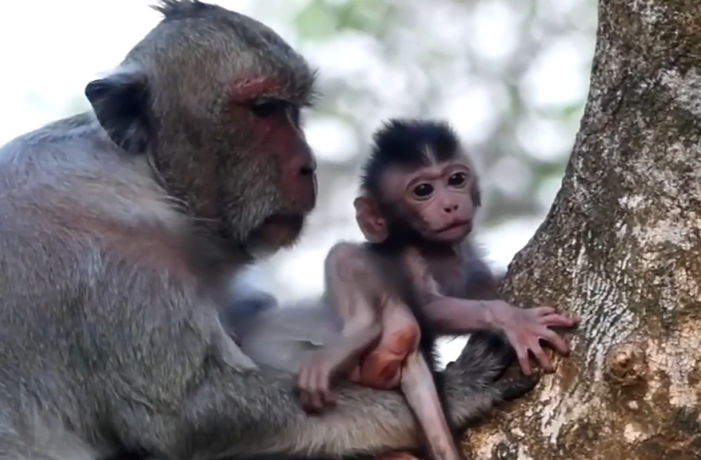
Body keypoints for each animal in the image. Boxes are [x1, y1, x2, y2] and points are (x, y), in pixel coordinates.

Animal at [0, 2, 543, 460]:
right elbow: (187, 416)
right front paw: (455, 391)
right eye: (263, 109)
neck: (143, 172)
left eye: (293, 109)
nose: (307, 165)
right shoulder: (119, 261)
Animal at [236, 119, 577, 460]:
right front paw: (513, 320)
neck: (438, 252)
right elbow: (427, 306)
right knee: (347, 257)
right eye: (422, 191)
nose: (450, 205)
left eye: (456, 179)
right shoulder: (408, 258)